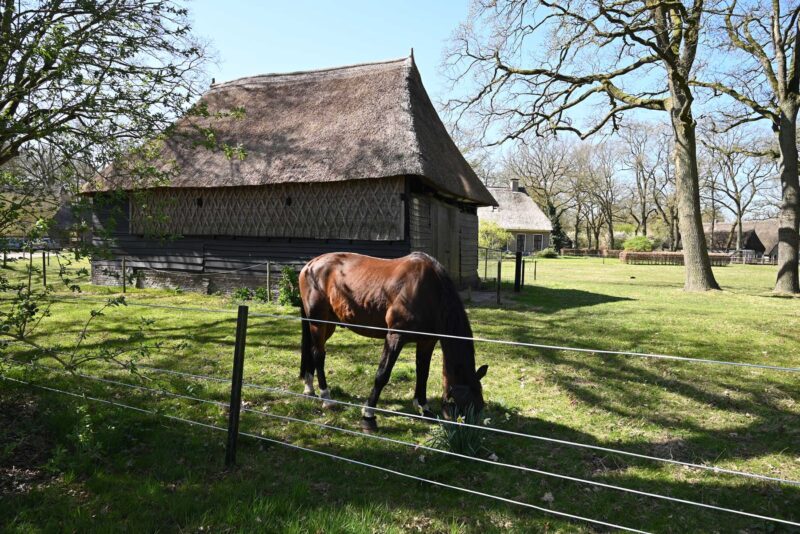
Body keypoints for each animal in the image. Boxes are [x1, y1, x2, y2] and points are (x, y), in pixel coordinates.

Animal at [298, 251, 488, 432]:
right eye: (464, 407)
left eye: (480, 407)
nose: (470, 436)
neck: (428, 291)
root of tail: (310, 265)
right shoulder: (395, 336)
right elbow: (382, 375)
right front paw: (368, 416)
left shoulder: (427, 341)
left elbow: (423, 372)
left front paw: (423, 408)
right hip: (318, 322)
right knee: (319, 354)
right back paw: (326, 397)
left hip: (329, 324)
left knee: (312, 350)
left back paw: (309, 388)